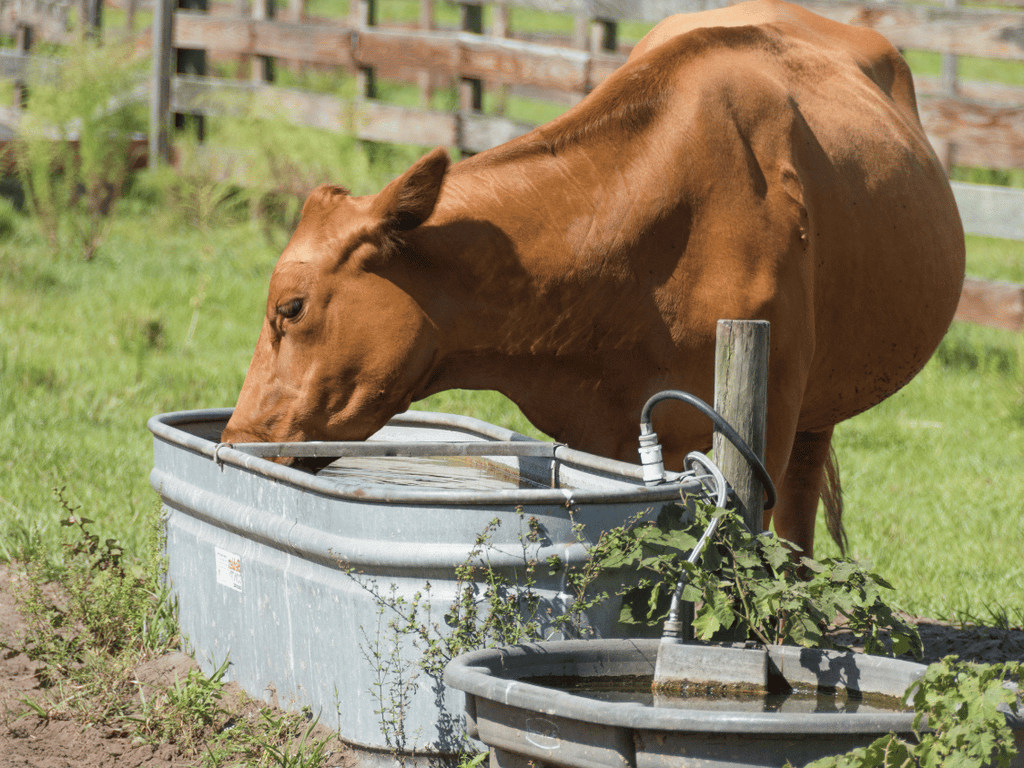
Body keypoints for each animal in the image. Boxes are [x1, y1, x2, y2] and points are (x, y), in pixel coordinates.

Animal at [220, 0, 962, 557]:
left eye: (289, 307)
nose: (235, 442)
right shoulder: (589, 435)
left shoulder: (763, 431)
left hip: (815, 408)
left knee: (800, 521)